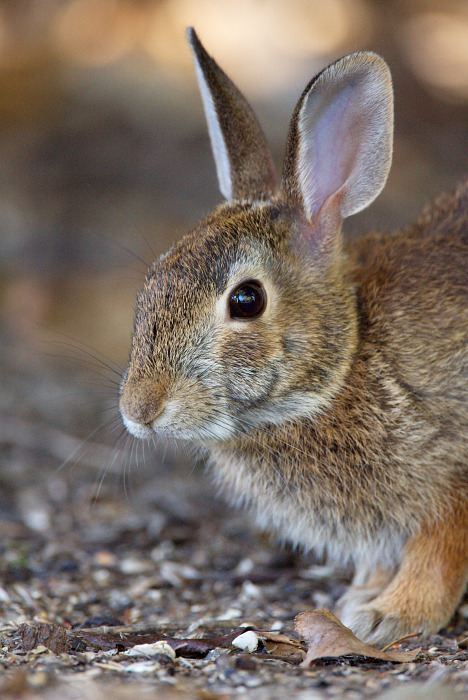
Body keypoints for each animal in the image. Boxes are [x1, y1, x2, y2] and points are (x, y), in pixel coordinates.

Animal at [119, 27, 468, 645]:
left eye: (246, 300)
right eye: (156, 276)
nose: (139, 410)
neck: (348, 360)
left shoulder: (452, 469)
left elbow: (440, 549)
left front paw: (393, 615)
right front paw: (363, 596)